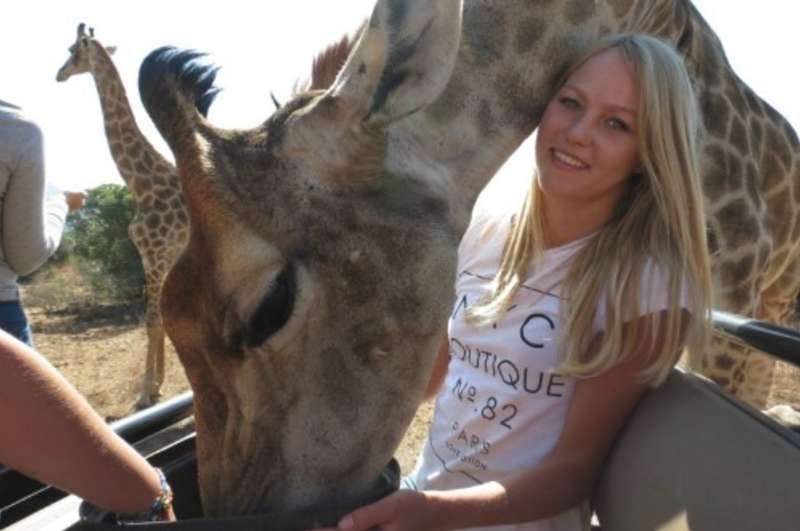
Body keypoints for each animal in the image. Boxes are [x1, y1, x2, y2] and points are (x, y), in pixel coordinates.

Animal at [56, 24, 191, 408]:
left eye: (72, 50)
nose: (59, 74)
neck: (141, 184)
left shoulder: (156, 254)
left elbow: (152, 319)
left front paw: (146, 392)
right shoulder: (156, 256)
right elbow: (160, 316)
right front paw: (158, 384)